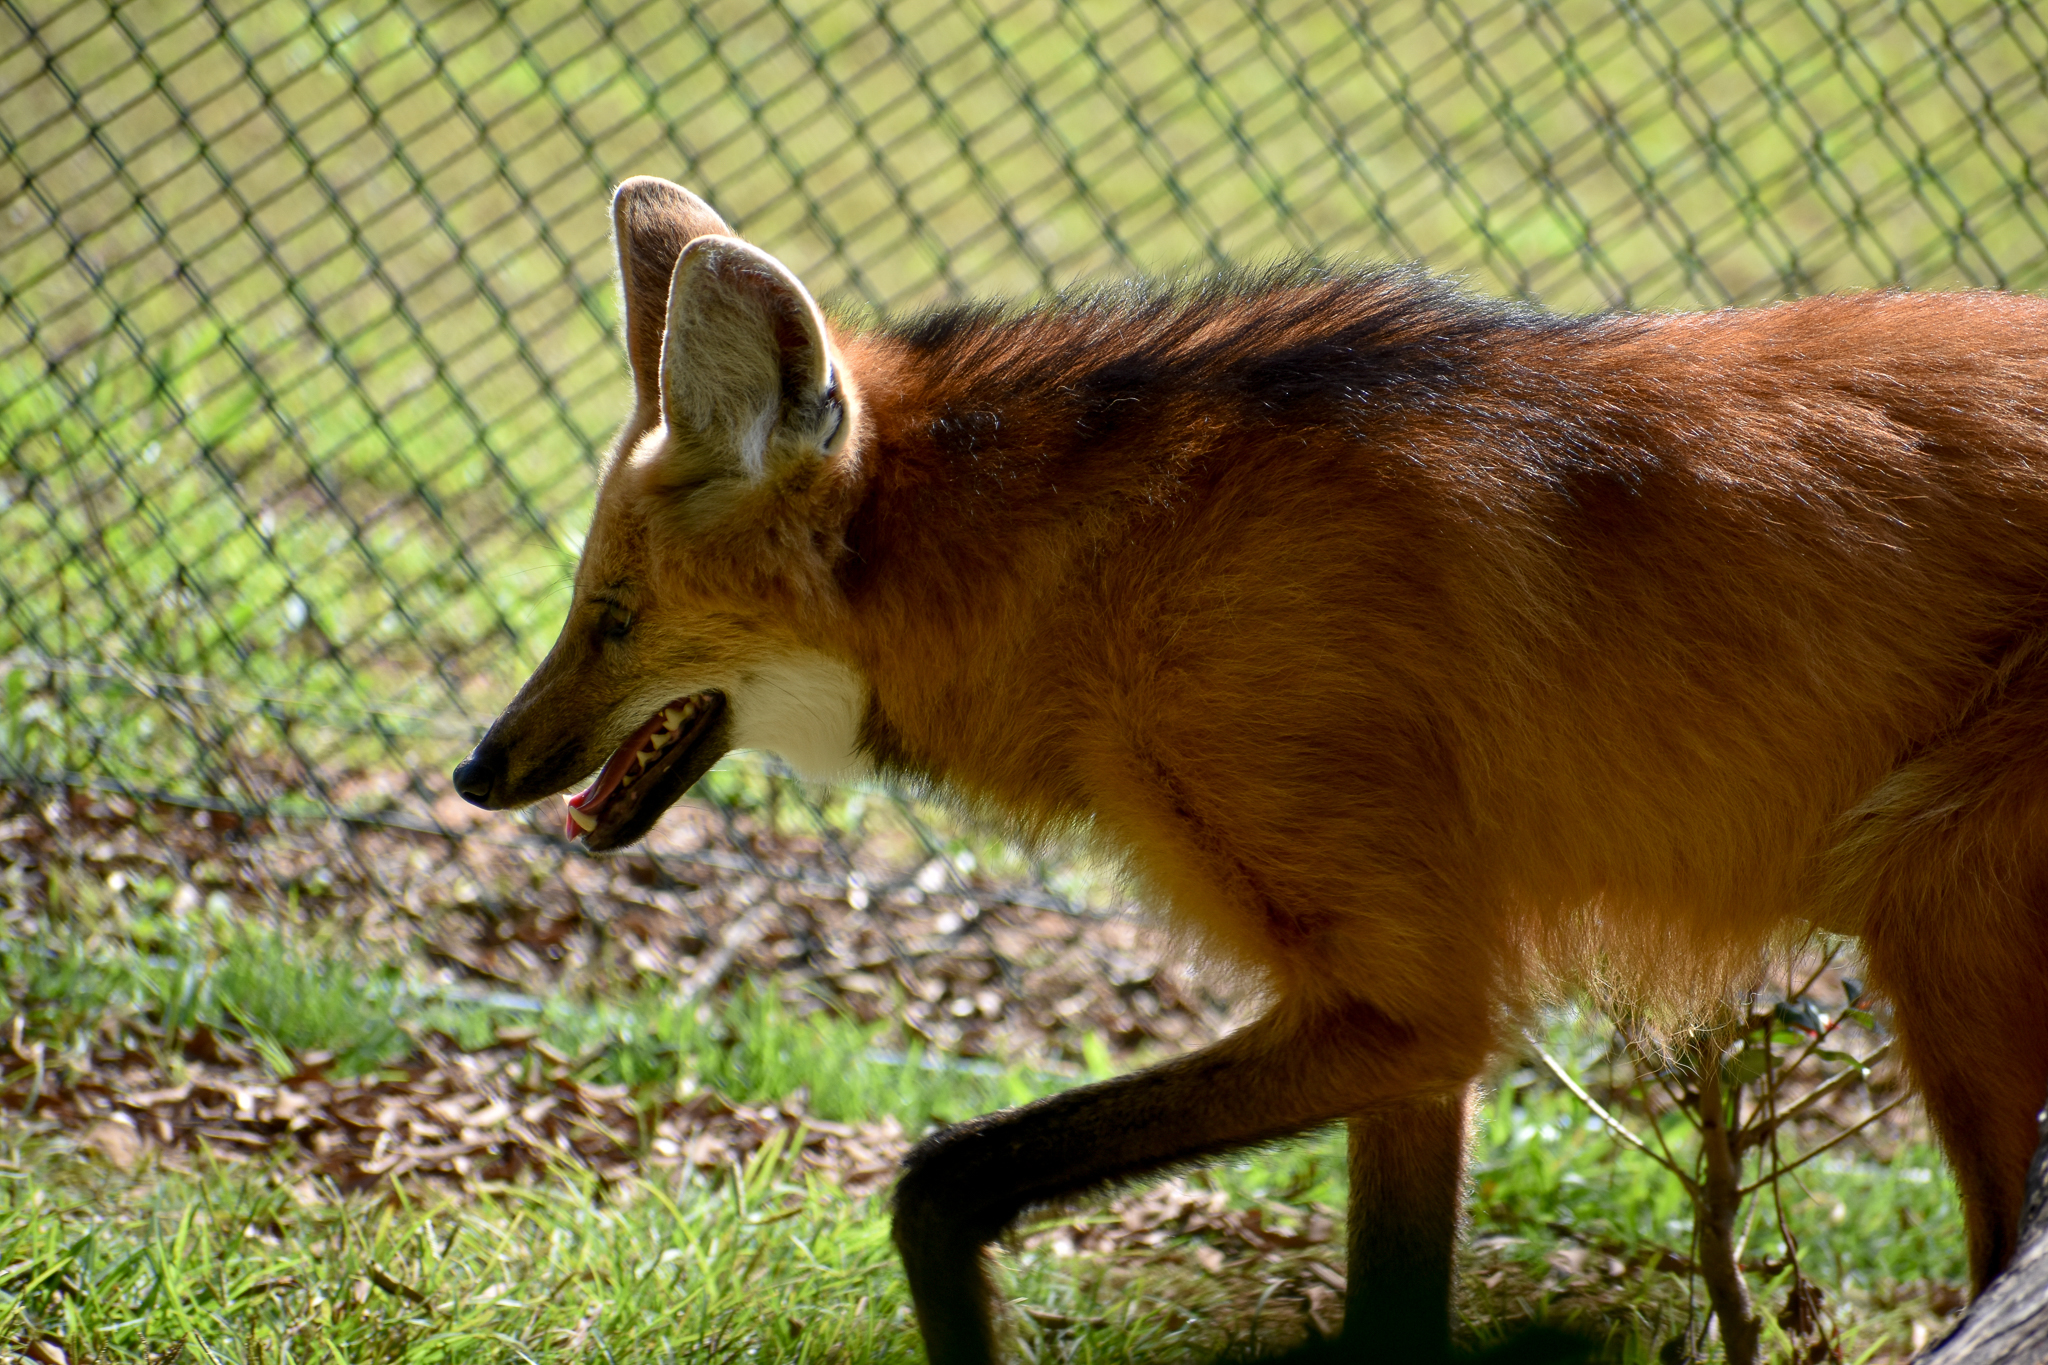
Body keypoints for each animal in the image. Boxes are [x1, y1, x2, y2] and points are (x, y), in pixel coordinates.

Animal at [452, 176, 2048, 1363]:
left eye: (611, 619)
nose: (479, 769)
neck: (1102, 572)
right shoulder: (1412, 1044)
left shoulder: (1401, 1003)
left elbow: (938, 1180)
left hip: (1940, 911)